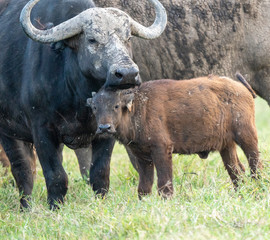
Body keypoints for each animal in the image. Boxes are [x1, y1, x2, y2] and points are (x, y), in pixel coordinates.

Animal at [0, 0, 167, 208]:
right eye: (92, 40)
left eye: (128, 38)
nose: (127, 73)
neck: (79, 99)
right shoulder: (42, 131)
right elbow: (56, 175)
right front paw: (55, 206)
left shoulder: (107, 130)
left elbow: (99, 173)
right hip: (8, 132)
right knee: (22, 170)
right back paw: (26, 207)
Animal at [88, 75, 262, 199]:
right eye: (94, 107)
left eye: (116, 106)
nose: (104, 128)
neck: (139, 106)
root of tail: (242, 88)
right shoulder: (142, 157)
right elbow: (144, 185)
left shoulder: (162, 150)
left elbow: (164, 180)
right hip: (227, 146)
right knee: (236, 171)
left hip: (246, 135)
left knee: (255, 163)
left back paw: (259, 187)